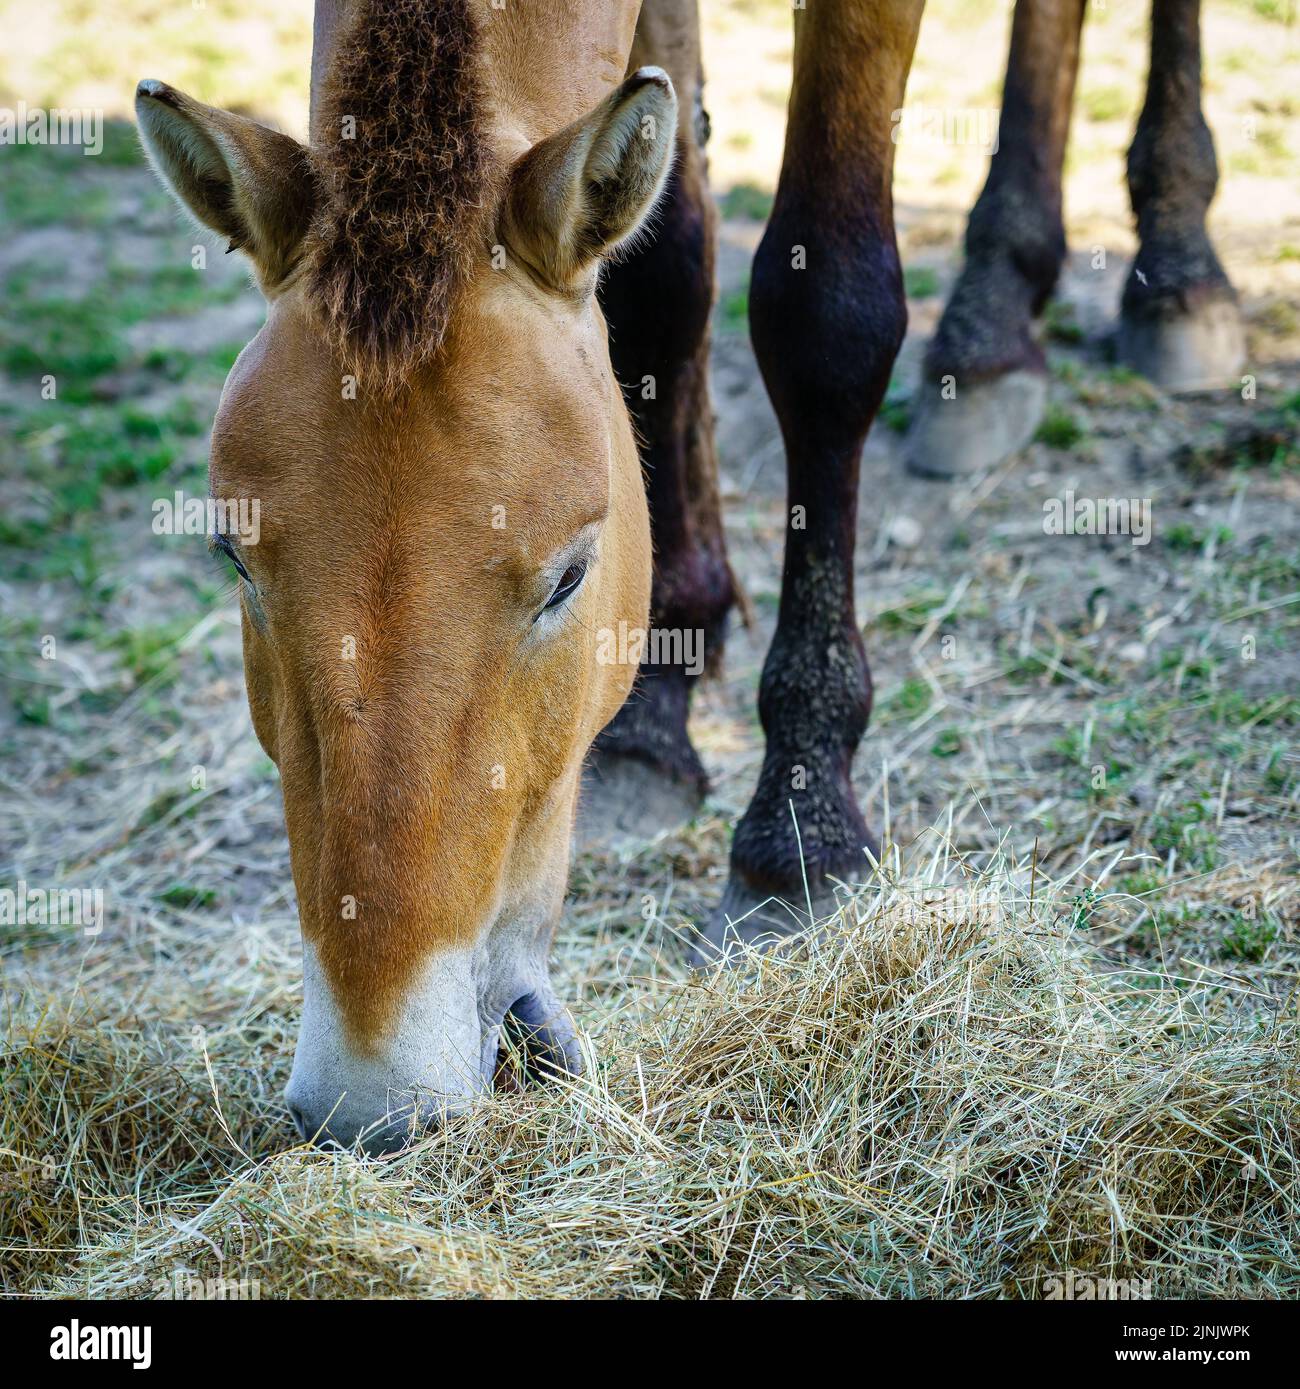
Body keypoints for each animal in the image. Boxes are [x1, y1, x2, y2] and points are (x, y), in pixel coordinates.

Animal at [134, 0, 1240, 1151]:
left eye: (569, 580)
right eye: (232, 555)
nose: (373, 1095)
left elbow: (826, 311)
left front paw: (801, 831)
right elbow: (666, 277)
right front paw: (661, 701)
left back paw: (1160, 278)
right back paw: (997, 316)